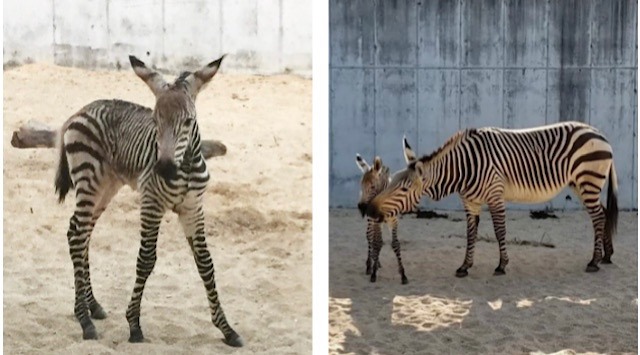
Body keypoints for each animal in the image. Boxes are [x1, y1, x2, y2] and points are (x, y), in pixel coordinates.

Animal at [53, 55, 244, 348]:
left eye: (188, 121)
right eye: (155, 120)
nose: (163, 169)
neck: (184, 168)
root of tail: (80, 111)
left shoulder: (193, 208)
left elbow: (205, 263)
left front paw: (226, 329)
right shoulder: (151, 203)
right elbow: (146, 260)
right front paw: (134, 325)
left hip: (106, 188)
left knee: (79, 233)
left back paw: (92, 306)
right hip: (89, 181)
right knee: (77, 236)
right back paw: (85, 320)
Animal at [364, 123, 620, 278]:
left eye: (404, 189)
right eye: (391, 181)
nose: (369, 210)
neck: (463, 169)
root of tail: (600, 133)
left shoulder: (495, 196)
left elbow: (499, 231)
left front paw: (501, 265)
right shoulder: (471, 203)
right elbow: (470, 234)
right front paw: (465, 266)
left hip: (588, 180)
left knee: (598, 216)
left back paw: (594, 261)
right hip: (581, 184)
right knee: (602, 214)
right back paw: (606, 255)